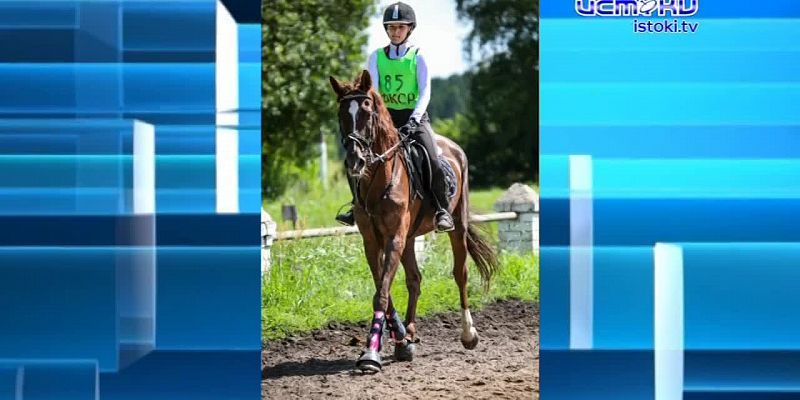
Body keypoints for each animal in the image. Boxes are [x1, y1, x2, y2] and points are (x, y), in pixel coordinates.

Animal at [329, 70, 499, 373]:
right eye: (341, 114)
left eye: (367, 112)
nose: (354, 161)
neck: (380, 178)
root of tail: (454, 147)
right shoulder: (372, 241)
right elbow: (382, 288)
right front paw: (398, 341)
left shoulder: (394, 237)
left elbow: (382, 293)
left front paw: (371, 354)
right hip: (409, 238)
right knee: (415, 280)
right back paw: (408, 332)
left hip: (456, 225)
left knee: (460, 274)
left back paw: (468, 334)